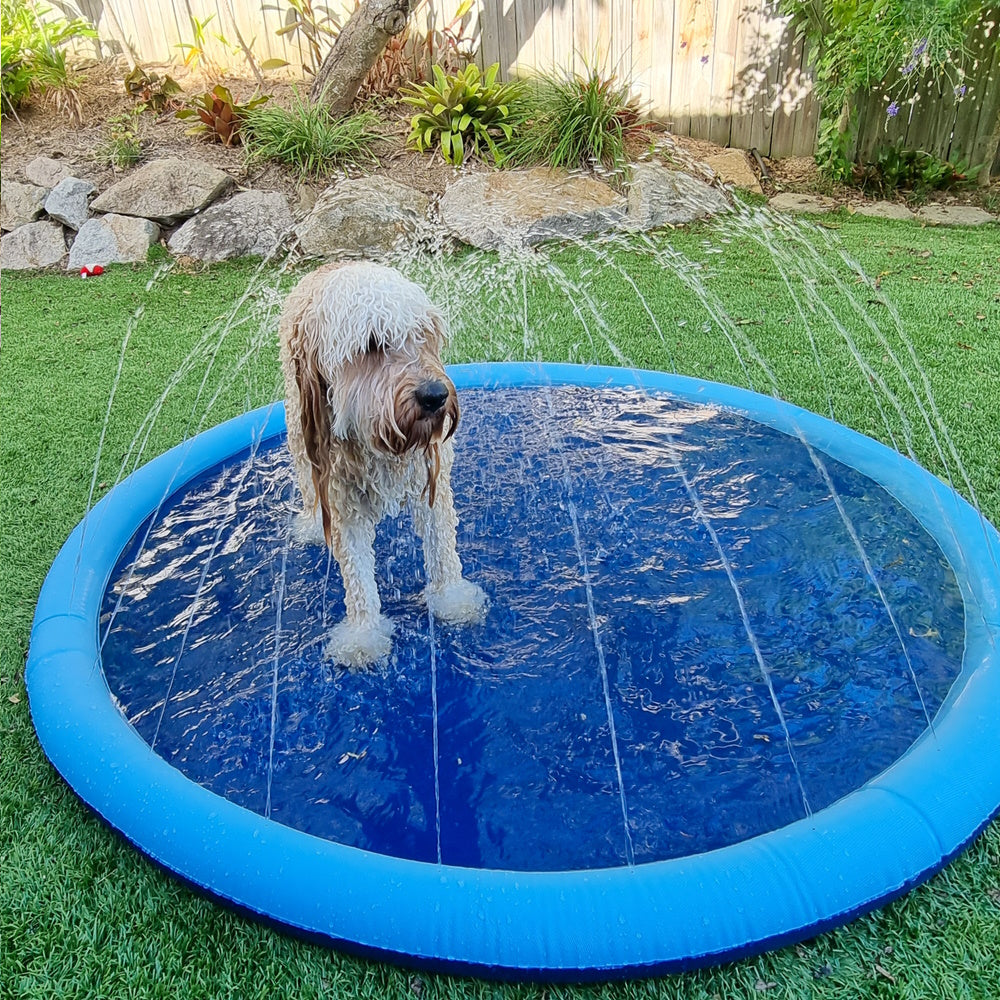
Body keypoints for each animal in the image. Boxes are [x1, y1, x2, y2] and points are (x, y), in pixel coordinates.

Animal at [280, 262, 486, 668]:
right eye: (373, 344)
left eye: (424, 336)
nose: (435, 396)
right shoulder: (339, 495)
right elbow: (357, 572)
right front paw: (364, 636)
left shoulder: (431, 476)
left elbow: (442, 544)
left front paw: (453, 600)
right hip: (298, 427)